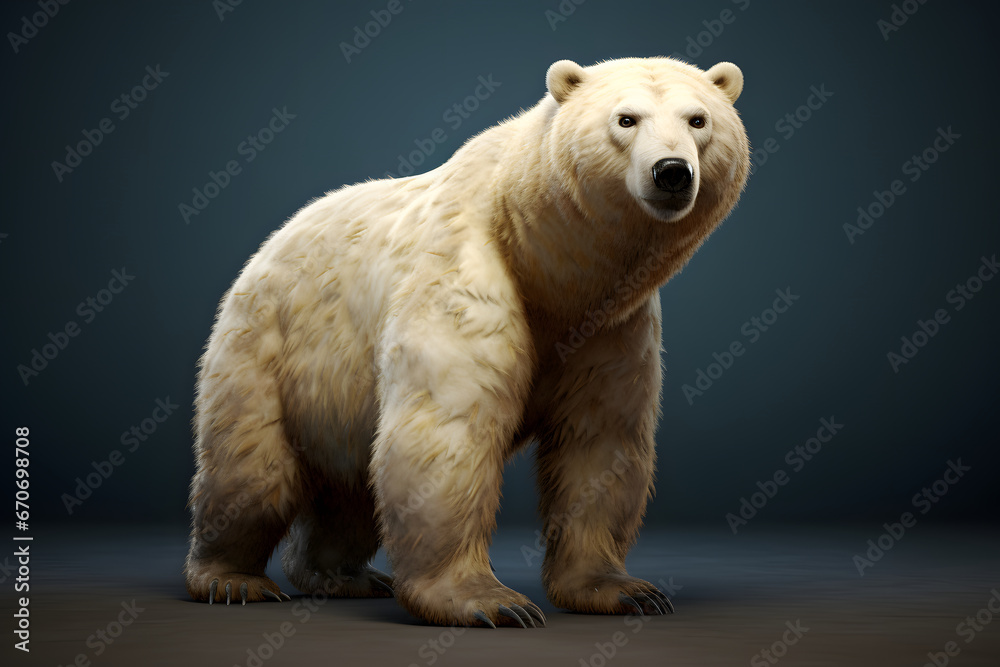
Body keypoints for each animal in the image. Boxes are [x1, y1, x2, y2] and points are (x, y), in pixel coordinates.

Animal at [184, 56, 749, 628]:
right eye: (626, 119)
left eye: (698, 119)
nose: (672, 171)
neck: (551, 267)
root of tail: (270, 242)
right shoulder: (463, 272)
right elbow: (449, 428)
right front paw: (492, 602)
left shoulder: (612, 327)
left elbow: (599, 441)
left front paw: (623, 590)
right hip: (267, 346)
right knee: (252, 470)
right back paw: (232, 579)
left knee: (350, 490)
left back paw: (343, 576)